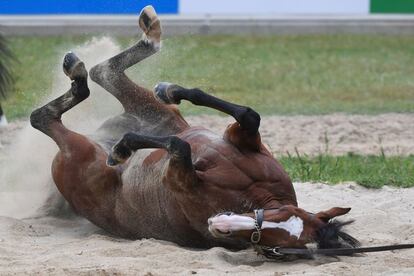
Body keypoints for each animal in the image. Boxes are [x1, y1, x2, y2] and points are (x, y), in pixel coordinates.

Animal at [29, 6, 360, 252]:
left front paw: (125, 146)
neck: (251, 194)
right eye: (284, 215)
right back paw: (144, 40)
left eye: (271, 243)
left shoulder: (178, 177)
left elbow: (179, 146)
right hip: (156, 112)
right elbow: (247, 115)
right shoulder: (243, 139)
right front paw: (172, 90)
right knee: (103, 73)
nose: (221, 224)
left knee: (44, 117)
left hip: (79, 153)